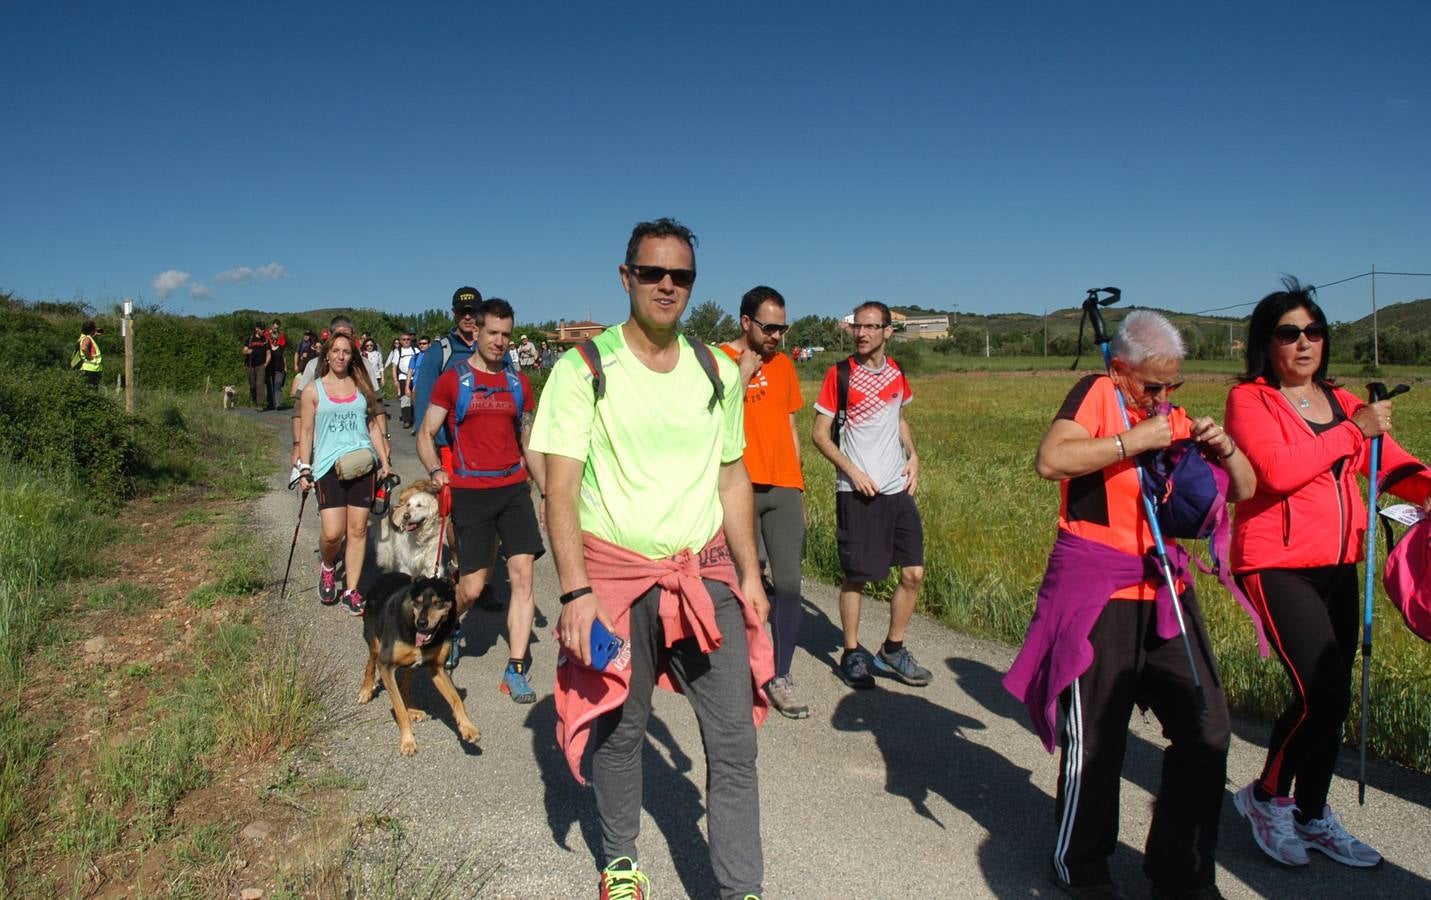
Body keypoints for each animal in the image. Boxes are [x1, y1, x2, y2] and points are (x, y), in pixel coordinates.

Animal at [357, 572, 480, 755]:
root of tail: (386, 574)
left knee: (405, 685)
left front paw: (468, 728)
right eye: (418, 601)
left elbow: (457, 699)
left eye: (438, 602)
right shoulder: (386, 665)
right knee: (370, 664)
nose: (422, 623)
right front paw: (407, 741)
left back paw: (412, 709)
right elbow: (400, 709)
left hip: (411, 664)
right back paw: (366, 691)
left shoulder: (437, 669)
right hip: (375, 644)